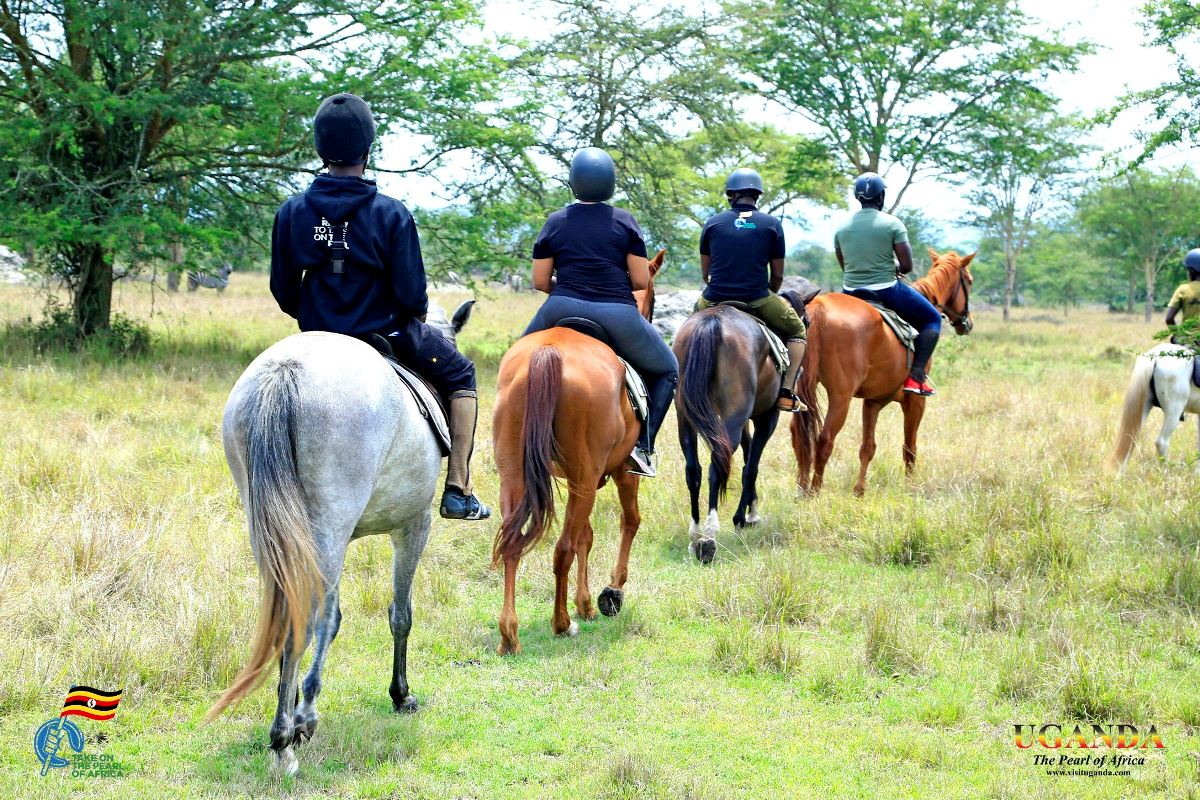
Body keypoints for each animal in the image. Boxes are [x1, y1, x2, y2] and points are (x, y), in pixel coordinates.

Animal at [206, 299, 472, 777]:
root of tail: (286, 370)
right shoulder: (414, 525)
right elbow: (399, 615)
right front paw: (400, 694)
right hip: (329, 530)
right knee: (311, 621)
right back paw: (289, 733)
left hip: (274, 531)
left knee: (290, 615)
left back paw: (288, 720)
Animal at [492, 250, 672, 657]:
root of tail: (548, 353)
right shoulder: (622, 472)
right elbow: (629, 522)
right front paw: (611, 593)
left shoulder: (585, 479)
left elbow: (586, 537)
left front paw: (586, 603)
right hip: (586, 480)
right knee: (562, 548)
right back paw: (561, 624)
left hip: (518, 476)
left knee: (515, 543)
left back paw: (509, 635)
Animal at [676, 303, 796, 566]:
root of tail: (712, 321)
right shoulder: (766, 418)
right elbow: (751, 467)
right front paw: (746, 517)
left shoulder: (744, 423)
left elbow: (747, 456)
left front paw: (750, 510)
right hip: (735, 415)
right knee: (716, 466)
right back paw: (709, 538)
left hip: (685, 416)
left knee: (693, 470)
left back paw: (695, 535)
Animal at [787, 250, 974, 496]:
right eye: (969, 281)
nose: (967, 323)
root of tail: (818, 307)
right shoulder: (915, 402)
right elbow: (909, 447)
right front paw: (910, 487)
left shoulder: (873, 401)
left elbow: (868, 447)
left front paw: (859, 490)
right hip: (841, 397)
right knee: (824, 439)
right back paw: (814, 493)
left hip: (801, 391)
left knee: (799, 436)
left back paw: (801, 491)